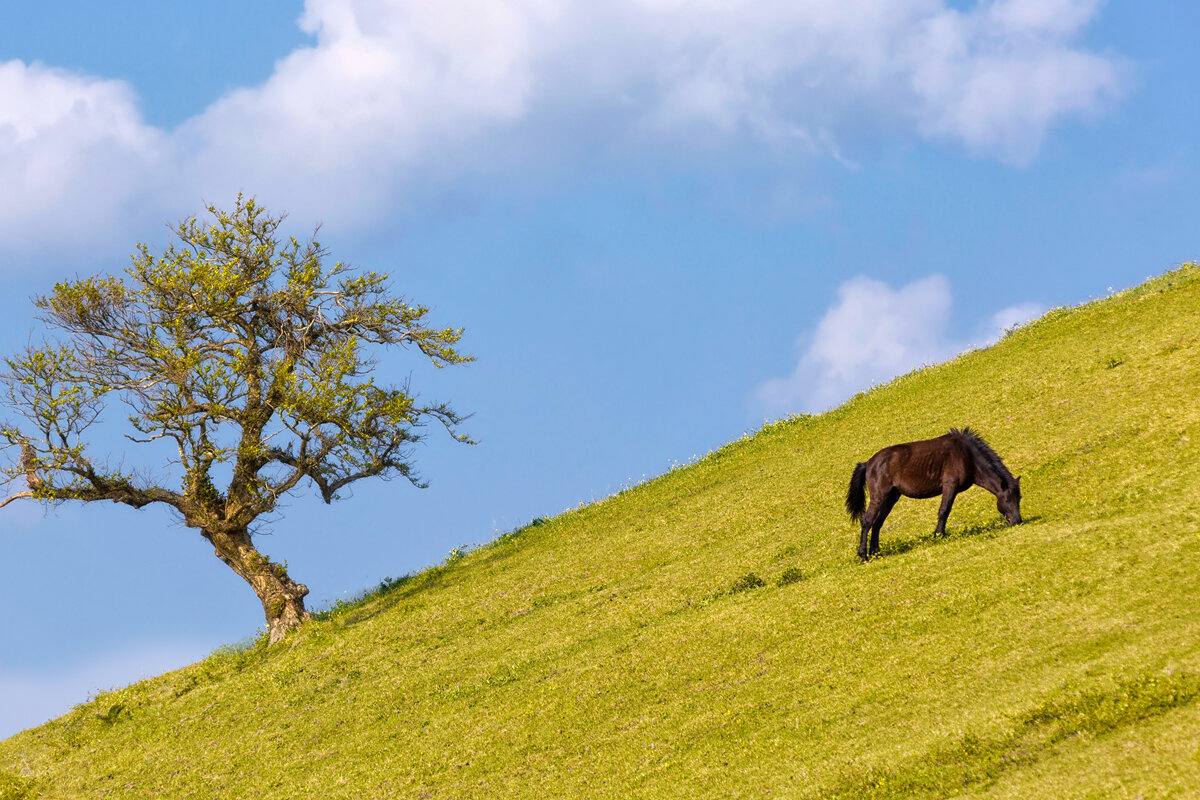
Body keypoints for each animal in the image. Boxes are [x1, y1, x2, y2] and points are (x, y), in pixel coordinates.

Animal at [844, 424, 1022, 563]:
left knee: (877, 523)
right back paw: (863, 556)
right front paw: (938, 536)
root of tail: (868, 463)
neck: (968, 455)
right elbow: (944, 511)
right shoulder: (950, 486)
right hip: (878, 497)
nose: (1018, 521)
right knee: (867, 521)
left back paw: (876, 553)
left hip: (891, 497)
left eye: (1019, 498)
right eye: (1008, 499)